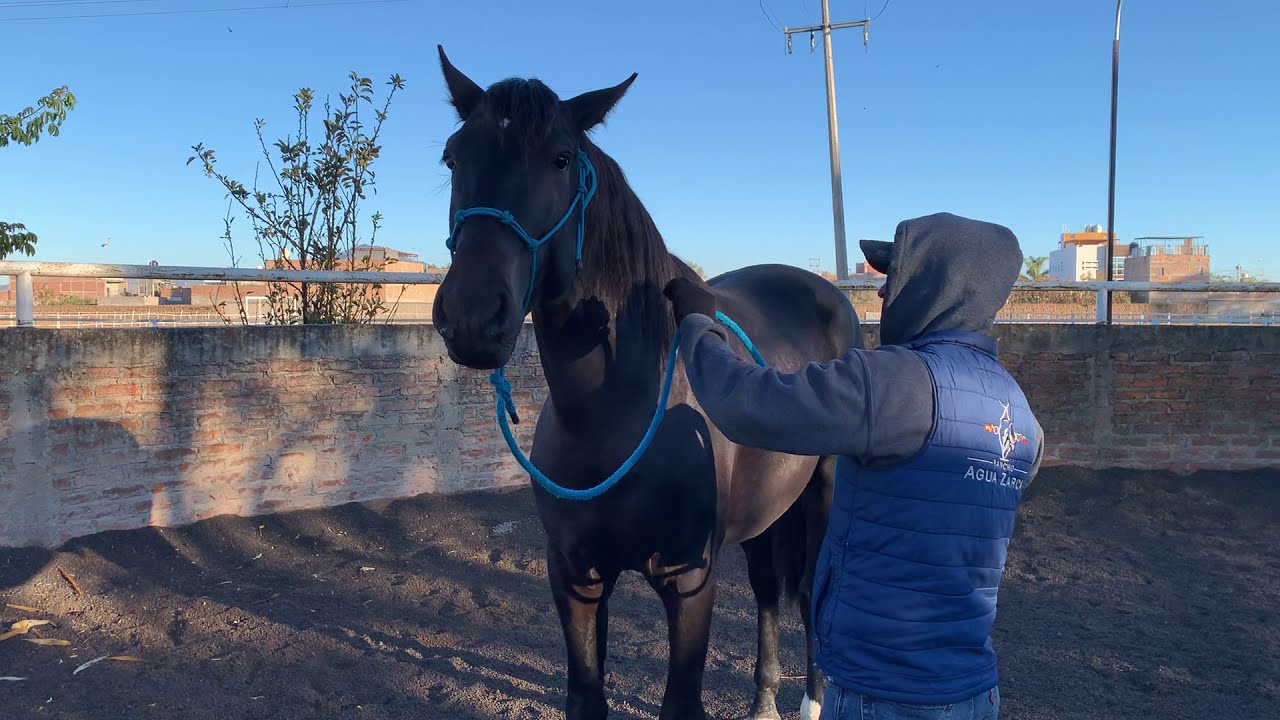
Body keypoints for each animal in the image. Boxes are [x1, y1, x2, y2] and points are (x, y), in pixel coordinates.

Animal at [430, 46, 863, 720]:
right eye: (454, 155)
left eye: (560, 158)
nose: (474, 315)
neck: (615, 415)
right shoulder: (576, 578)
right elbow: (587, 695)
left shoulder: (688, 584)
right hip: (765, 511)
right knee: (768, 589)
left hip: (821, 493)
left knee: (813, 592)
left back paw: (812, 702)